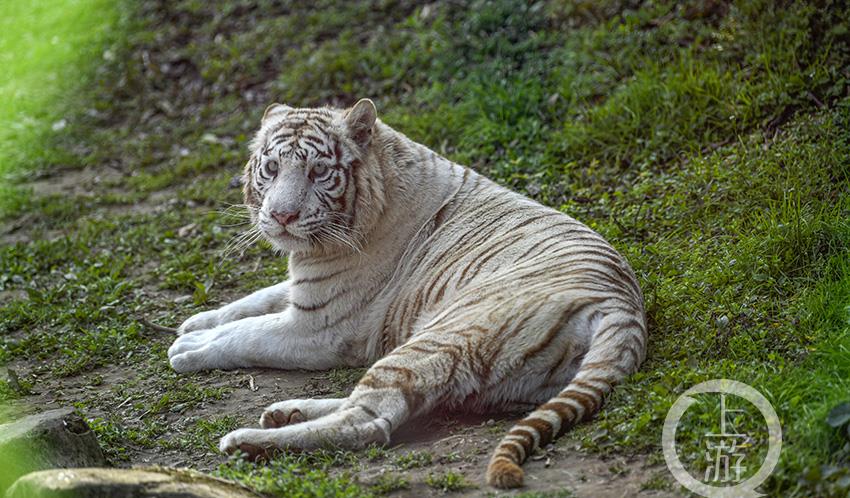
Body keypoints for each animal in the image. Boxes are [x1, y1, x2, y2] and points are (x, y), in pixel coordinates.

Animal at [164, 98, 644, 486]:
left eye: (318, 171)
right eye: (272, 168)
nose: (281, 216)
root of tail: (623, 309)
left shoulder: (319, 327)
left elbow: (248, 333)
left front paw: (190, 347)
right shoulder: (305, 287)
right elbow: (258, 298)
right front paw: (197, 320)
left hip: (442, 336)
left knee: (369, 422)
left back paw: (248, 440)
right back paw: (286, 411)